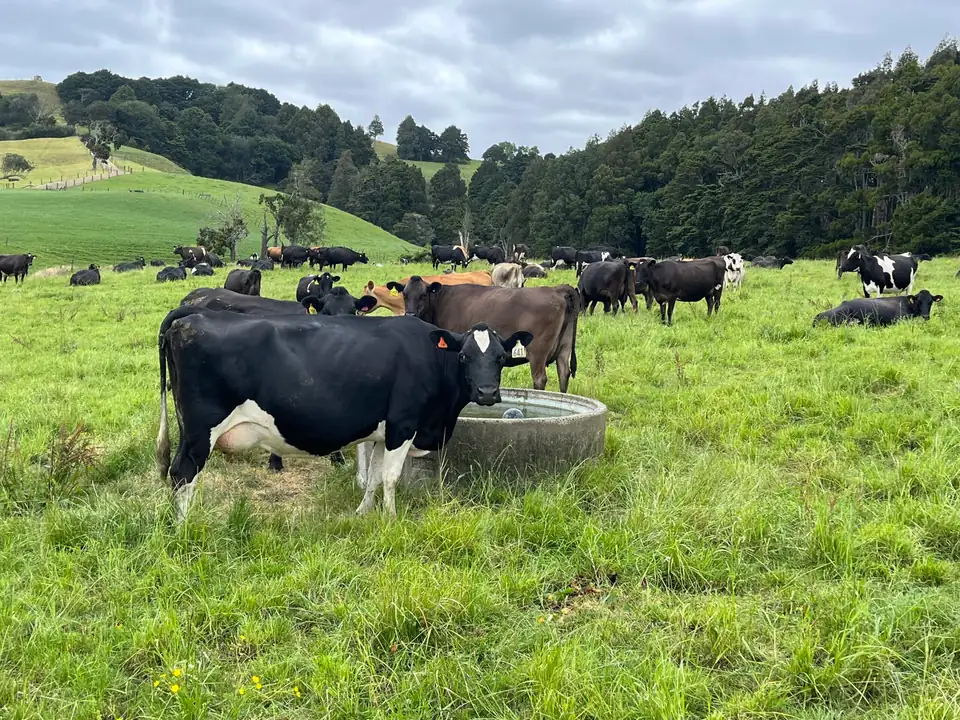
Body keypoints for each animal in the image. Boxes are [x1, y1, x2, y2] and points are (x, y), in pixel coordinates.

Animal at [156, 310, 533, 521]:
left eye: (501, 358)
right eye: (464, 356)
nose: (487, 393)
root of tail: (188, 318)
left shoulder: (383, 432)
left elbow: (375, 477)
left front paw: (363, 514)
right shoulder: (403, 425)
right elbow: (390, 478)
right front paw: (391, 520)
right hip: (200, 429)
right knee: (182, 473)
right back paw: (183, 527)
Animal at [385, 277, 579, 392]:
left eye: (424, 295)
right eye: (404, 295)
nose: (410, 315)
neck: (440, 302)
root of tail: (556, 290)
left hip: (538, 351)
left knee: (540, 379)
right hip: (564, 348)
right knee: (564, 373)